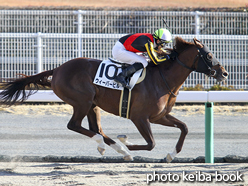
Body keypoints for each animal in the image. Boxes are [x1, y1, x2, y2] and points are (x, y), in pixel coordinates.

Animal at [0, 37, 229, 162]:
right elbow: (150, 143)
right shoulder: (140, 117)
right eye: (209, 55)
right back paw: (115, 147)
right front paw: (126, 142)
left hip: (93, 104)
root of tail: (57, 69)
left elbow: (184, 128)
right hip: (82, 101)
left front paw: (171, 155)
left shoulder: (159, 116)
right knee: (75, 125)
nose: (224, 73)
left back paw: (112, 148)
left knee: (95, 128)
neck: (163, 78)